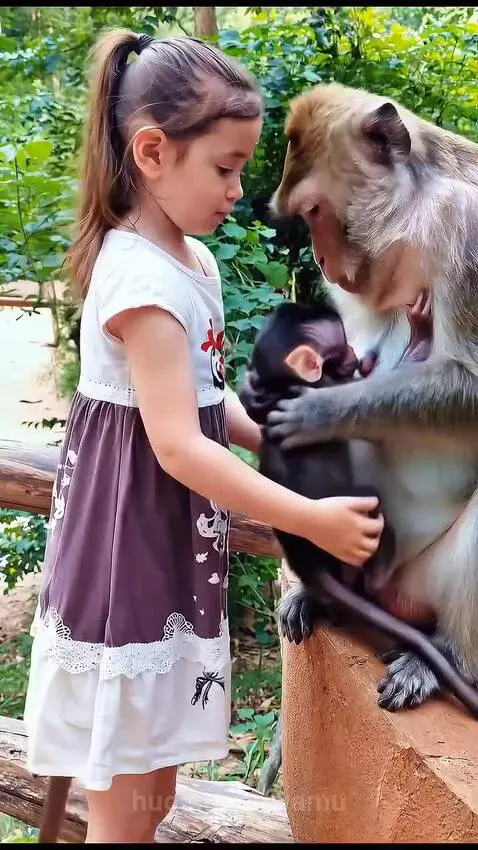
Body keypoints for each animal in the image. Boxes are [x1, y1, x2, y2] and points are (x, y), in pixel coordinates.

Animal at [239, 298, 478, 717]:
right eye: (341, 348)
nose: (360, 357)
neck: (283, 384)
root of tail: (316, 566)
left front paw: (252, 392)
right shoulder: (328, 383)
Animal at [263, 81, 478, 712]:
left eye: (314, 211)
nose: (320, 257)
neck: (418, 225)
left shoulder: (470, 233)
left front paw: (318, 411)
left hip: (423, 584)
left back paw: (445, 658)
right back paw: (319, 593)